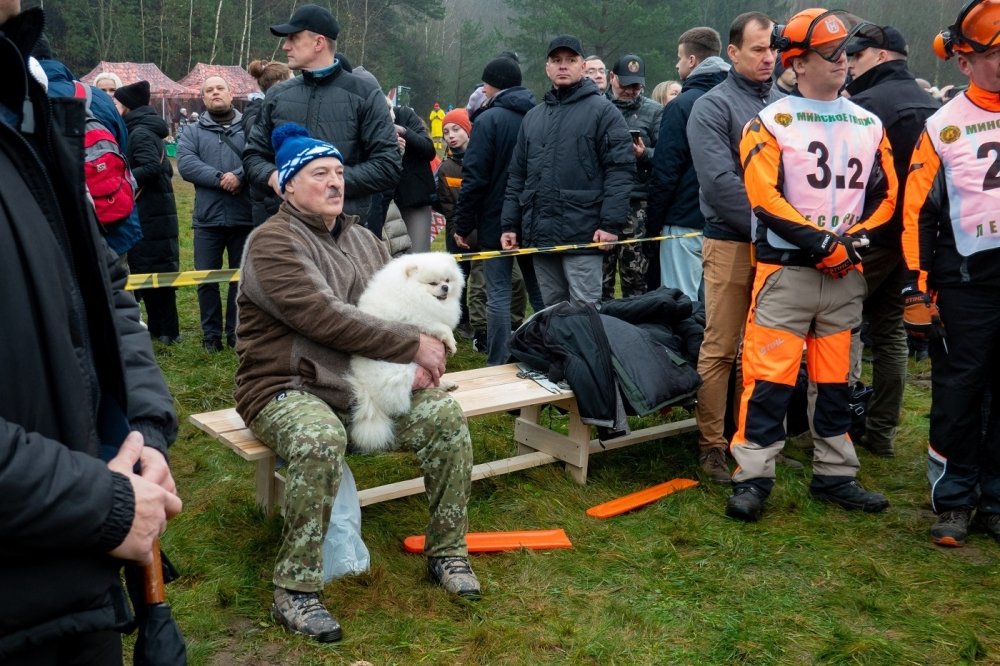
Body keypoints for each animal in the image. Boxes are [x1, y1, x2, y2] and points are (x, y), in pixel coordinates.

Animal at [348, 250, 464, 452]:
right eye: (433, 283)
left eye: (447, 280)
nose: (445, 288)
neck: (412, 292)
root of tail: (365, 387)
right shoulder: (420, 319)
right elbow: (441, 328)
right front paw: (451, 342)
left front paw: (449, 347)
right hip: (404, 370)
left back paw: (445, 384)